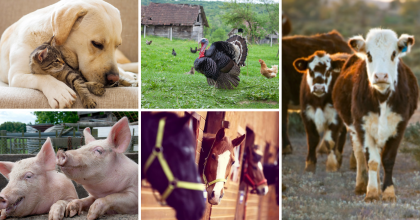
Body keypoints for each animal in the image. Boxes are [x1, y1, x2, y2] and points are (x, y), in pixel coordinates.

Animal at [0, 0, 136, 108]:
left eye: (117, 45)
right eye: (97, 44)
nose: (113, 80)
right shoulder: (16, 75)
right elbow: (41, 77)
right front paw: (59, 91)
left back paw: (130, 77)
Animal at [332, 28, 416, 202]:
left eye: (394, 53)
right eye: (369, 55)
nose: (381, 76)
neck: (382, 97)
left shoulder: (400, 126)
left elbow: (388, 160)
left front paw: (388, 192)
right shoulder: (362, 126)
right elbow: (371, 161)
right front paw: (371, 192)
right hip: (354, 129)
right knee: (359, 155)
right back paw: (361, 185)